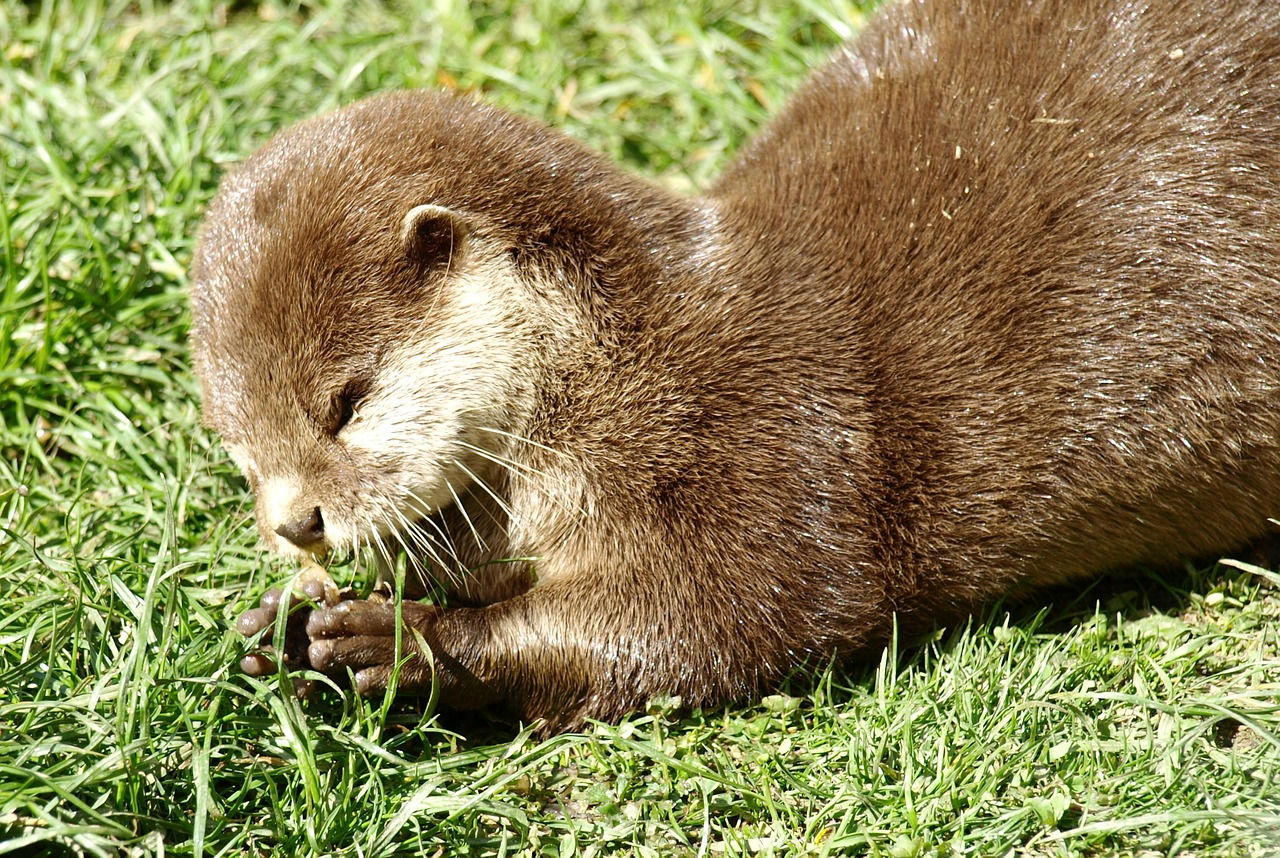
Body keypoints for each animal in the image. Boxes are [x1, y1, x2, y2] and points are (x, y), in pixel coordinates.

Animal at [186, 0, 1280, 732]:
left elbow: (708, 623)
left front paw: (402, 642)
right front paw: (284, 626)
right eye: (237, 445)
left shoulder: (771, 456)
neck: (635, 370)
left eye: (346, 402)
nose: (295, 522)